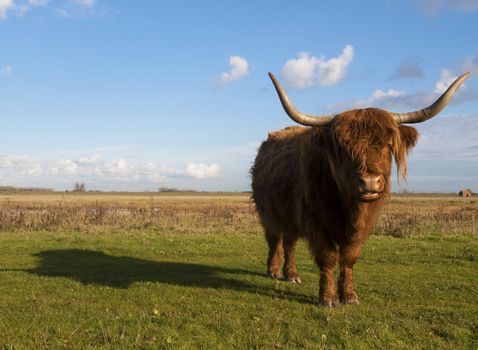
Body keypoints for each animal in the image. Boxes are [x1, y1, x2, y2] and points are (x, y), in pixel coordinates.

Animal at [252, 72, 468, 306]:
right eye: (343, 147)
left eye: (388, 144)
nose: (370, 182)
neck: (349, 207)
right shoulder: (315, 221)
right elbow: (328, 257)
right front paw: (328, 298)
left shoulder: (362, 226)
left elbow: (349, 257)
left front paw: (349, 296)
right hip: (269, 214)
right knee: (274, 240)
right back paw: (274, 270)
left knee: (290, 242)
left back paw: (292, 274)